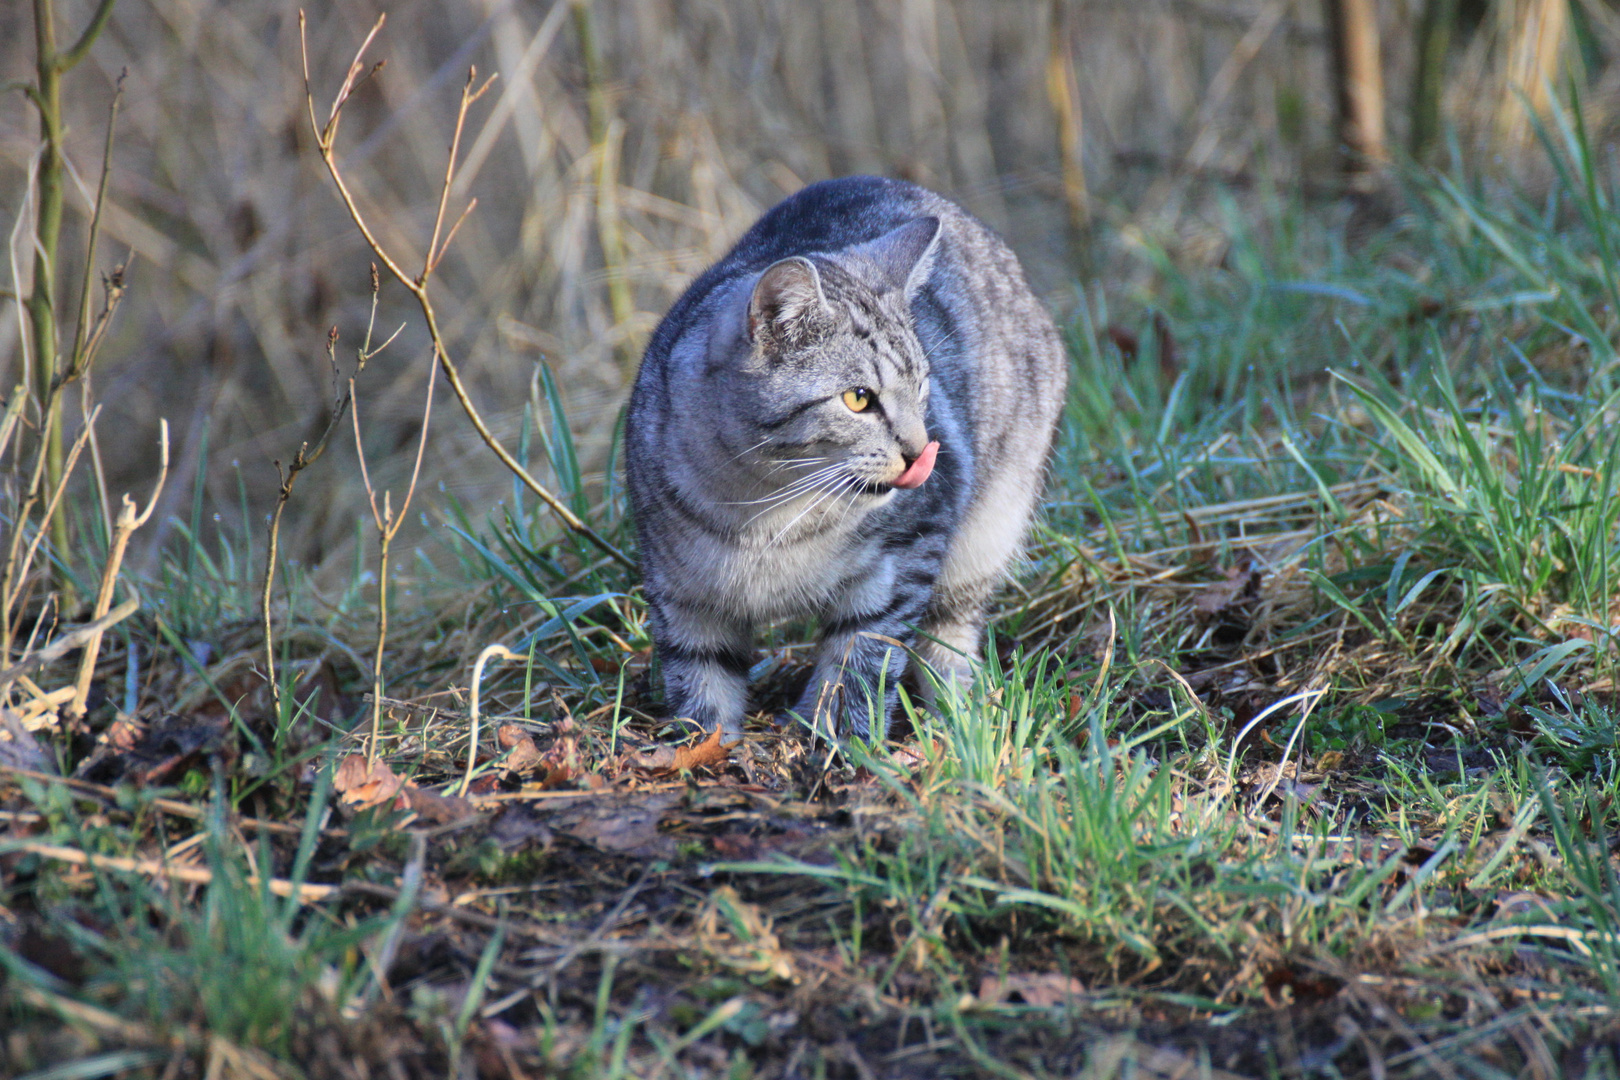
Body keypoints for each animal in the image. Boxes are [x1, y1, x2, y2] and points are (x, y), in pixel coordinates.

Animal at [625, 175, 1069, 744]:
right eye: (859, 398)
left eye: (921, 387)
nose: (920, 451)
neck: (759, 509)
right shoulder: (679, 594)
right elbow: (701, 680)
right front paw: (704, 745)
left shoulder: (908, 553)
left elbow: (861, 657)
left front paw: (839, 736)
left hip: (990, 529)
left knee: (950, 635)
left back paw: (959, 715)